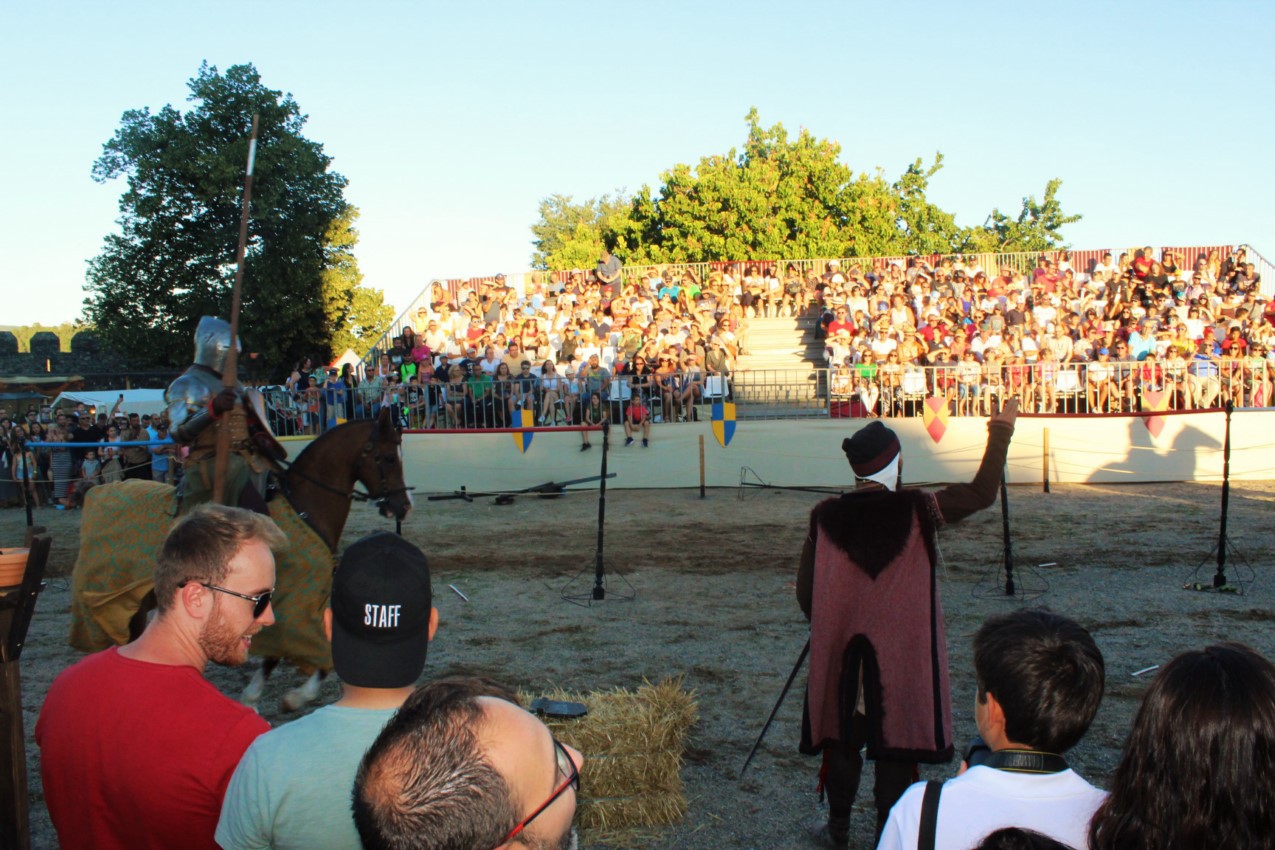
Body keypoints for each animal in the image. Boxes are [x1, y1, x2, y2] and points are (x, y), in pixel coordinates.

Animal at [69, 405, 410, 713]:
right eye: (388, 458)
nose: (402, 506)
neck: (305, 506)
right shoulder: (294, 605)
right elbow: (312, 655)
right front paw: (282, 698)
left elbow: (286, 655)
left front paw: (272, 697)